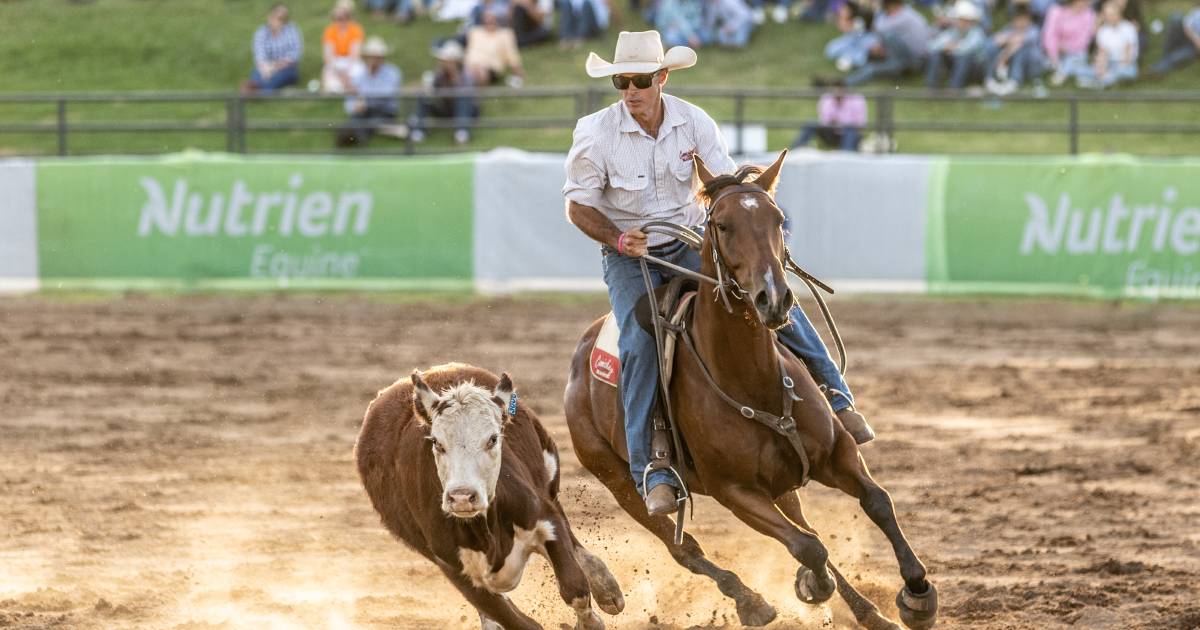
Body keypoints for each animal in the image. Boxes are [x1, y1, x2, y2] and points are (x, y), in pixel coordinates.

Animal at [352, 362, 619, 628]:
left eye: (492, 439)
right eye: (437, 443)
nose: (461, 497)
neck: (487, 529)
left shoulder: (544, 518)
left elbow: (575, 588)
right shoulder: (454, 569)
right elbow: (517, 621)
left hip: (549, 477)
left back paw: (607, 588)